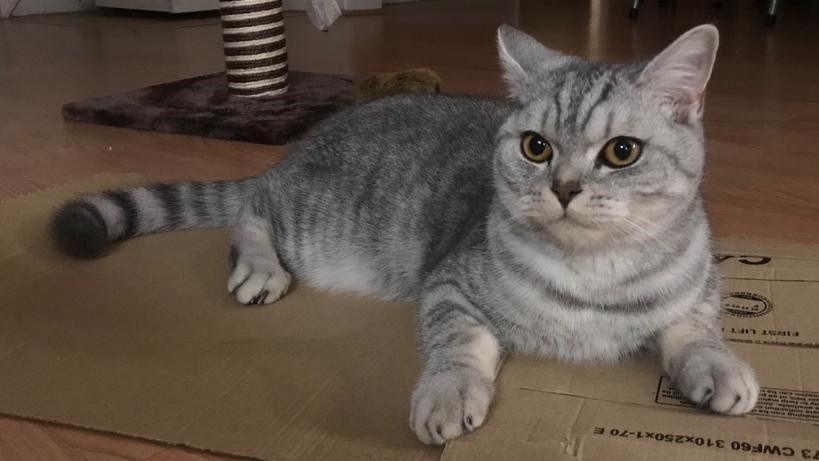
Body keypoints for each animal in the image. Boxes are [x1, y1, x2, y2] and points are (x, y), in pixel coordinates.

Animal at [51, 23, 760, 444]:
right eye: (535, 147)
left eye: (621, 152)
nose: (562, 187)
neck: (593, 275)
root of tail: (301, 145)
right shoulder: (449, 285)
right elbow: (459, 345)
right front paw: (448, 395)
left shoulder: (699, 290)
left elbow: (696, 330)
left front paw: (718, 366)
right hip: (312, 222)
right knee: (251, 208)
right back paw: (260, 266)